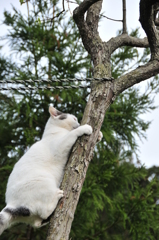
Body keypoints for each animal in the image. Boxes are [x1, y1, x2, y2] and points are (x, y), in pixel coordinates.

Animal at [0, 106, 95, 235]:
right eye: (74, 118)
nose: (79, 122)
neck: (54, 132)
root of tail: (12, 205)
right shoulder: (61, 146)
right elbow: (71, 134)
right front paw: (85, 128)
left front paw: (99, 135)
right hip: (44, 182)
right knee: (45, 211)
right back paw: (58, 195)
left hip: (32, 216)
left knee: (37, 222)